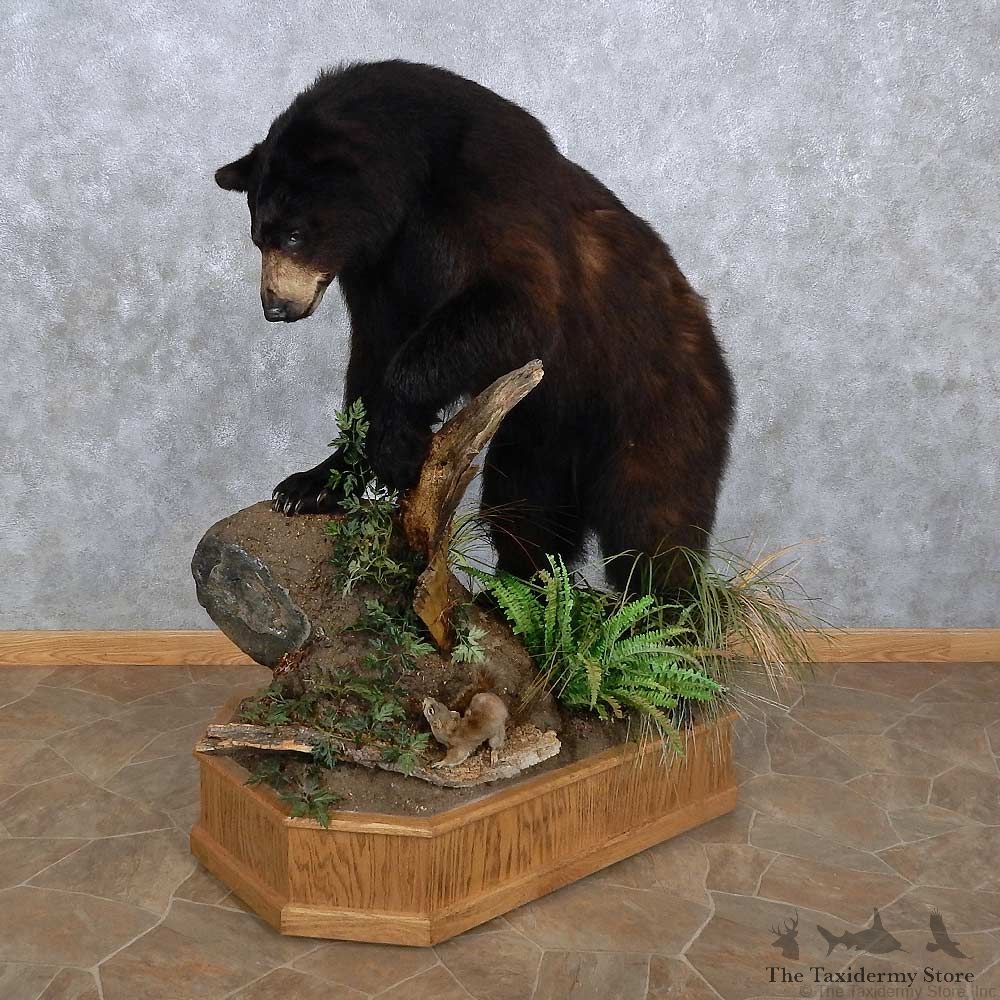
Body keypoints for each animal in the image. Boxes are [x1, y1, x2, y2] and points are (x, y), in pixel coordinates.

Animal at [215, 60, 735, 595]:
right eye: (258, 238)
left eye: (295, 235)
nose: (276, 307)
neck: (410, 187)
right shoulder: (379, 268)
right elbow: (373, 351)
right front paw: (312, 484)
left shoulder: (485, 195)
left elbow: (517, 305)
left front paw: (395, 448)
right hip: (537, 436)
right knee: (525, 513)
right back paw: (513, 589)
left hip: (651, 411)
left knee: (650, 523)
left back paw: (665, 606)